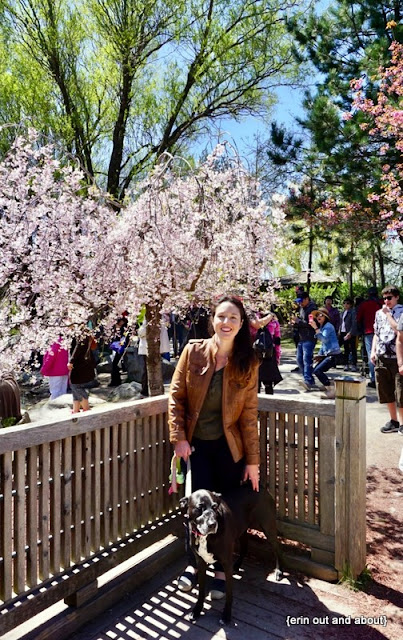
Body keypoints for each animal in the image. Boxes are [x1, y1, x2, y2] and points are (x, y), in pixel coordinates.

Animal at [179, 484, 280, 624]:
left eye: (215, 507)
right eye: (199, 508)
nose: (212, 524)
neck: (206, 537)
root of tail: (261, 488)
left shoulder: (226, 563)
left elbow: (229, 593)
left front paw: (226, 615)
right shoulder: (200, 561)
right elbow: (201, 591)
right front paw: (197, 611)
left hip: (268, 526)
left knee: (277, 548)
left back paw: (278, 571)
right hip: (242, 530)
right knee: (245, 547)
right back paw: (237, 565)